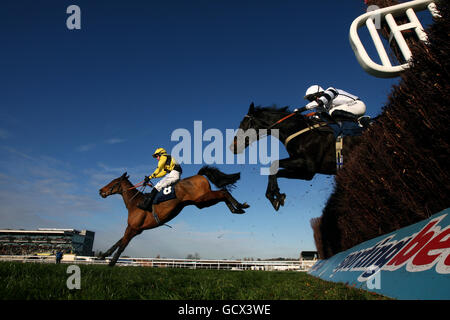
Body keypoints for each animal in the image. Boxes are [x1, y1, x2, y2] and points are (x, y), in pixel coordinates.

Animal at [98, 166, 250, 266]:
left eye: (114, 182)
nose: (100, 191)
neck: (134, 203)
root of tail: (198, 175)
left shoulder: (132, 228)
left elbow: (122, 244)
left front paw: (111, 263)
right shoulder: (135, 229)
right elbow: (118, 242)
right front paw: (103, 255)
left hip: (202, 198)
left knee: (223, 192)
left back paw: (240, 206)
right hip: (202, 203)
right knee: (222, 195)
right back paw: (237, 209)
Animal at [230, 102, 364, 211]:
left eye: (244, 124)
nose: (232, 147)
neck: (296, 129)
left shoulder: (309, 166)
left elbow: (274, 164)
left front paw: (274, 196)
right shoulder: (305, 172)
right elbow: (276, 172)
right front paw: (275, 195)